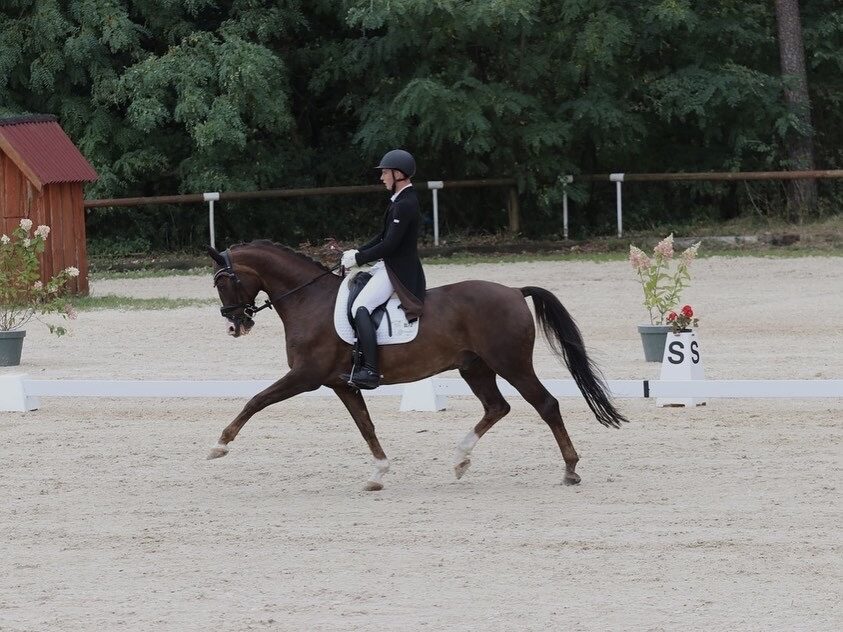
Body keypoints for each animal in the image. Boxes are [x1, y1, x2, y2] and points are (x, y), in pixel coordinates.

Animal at [206, 240, 628, 490]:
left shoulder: (305, 376)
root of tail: (513, 290)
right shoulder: (341, 383)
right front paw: (378, 473)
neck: (309, 301)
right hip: (475, 367)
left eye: (223, 282)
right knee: (497, 407)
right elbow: (366, 426)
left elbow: (256, 400)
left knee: (545, 405)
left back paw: (570, 469)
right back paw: (460, 460)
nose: (234, 325)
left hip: (511, 364)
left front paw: (219, 445)